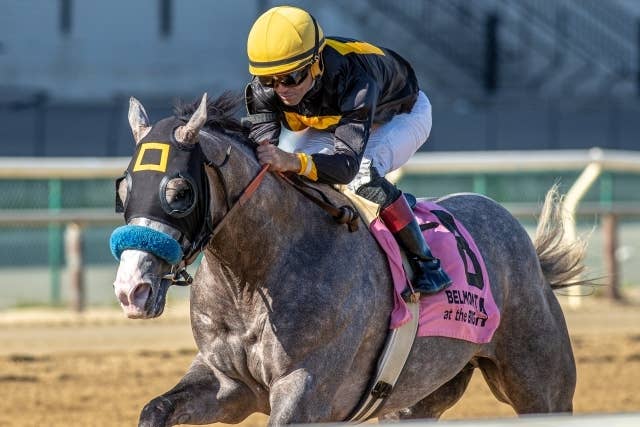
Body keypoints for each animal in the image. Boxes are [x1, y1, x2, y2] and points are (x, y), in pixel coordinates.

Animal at [111, 92, 591, 426]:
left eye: (179, 192)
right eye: (123, 189)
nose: (131, 290)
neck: (250, 278)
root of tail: (516, 233)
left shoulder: (307, 388)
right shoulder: (227, 384)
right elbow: (155, 409)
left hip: (541, 387)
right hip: (416, 397)